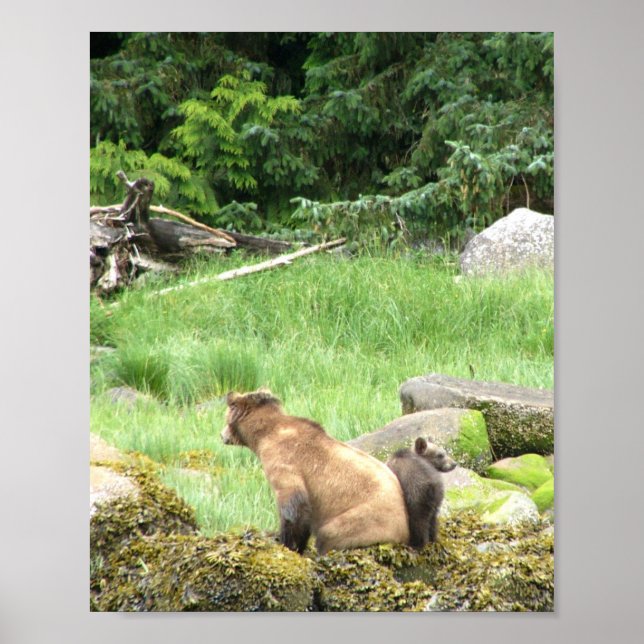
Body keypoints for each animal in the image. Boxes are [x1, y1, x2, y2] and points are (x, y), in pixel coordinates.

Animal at [220, 389, 410, 555]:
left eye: (225, 416)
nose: (222, 435)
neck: (264, 435)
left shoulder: (283, 461)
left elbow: (294, 504)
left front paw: (288, 544)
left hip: (365, 519)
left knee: (330, 534)